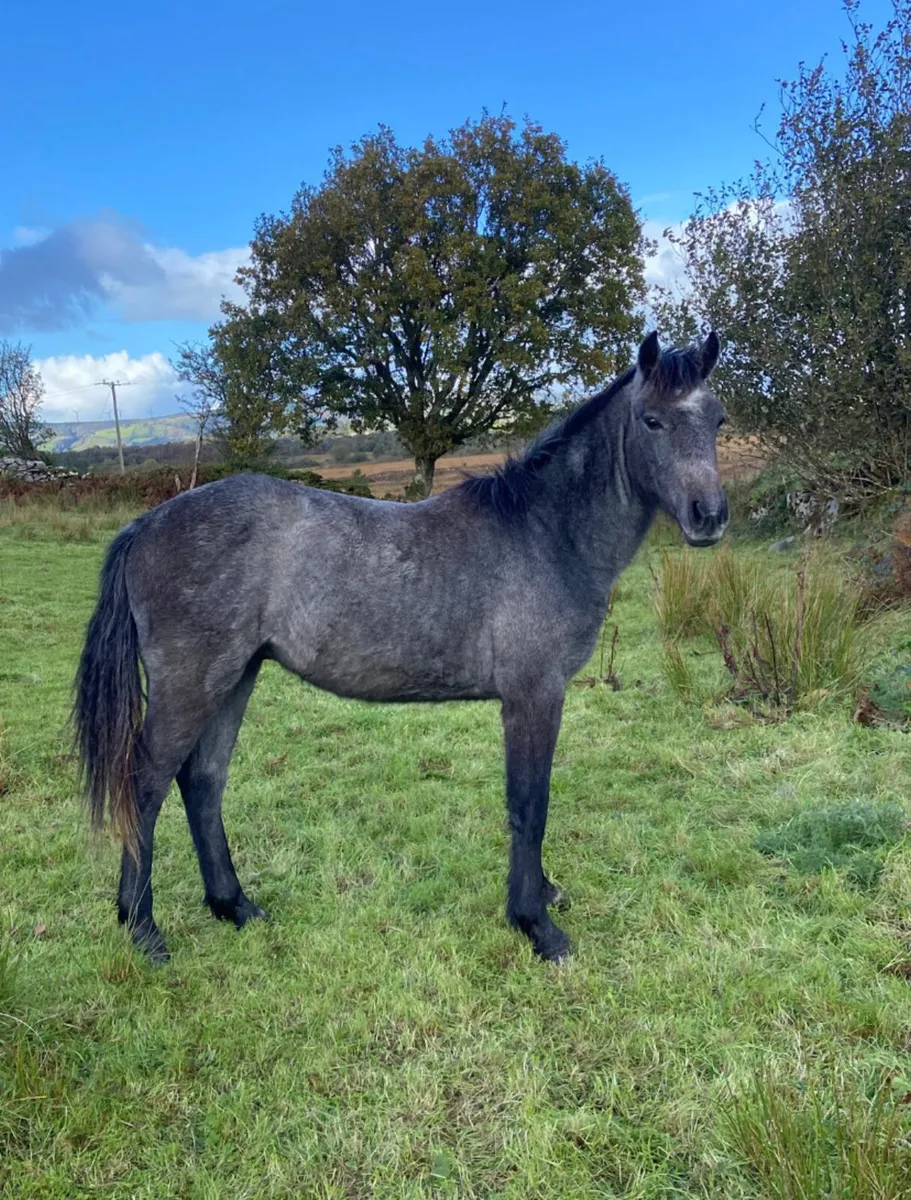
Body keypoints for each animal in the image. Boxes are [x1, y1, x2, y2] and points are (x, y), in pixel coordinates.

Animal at [74, 331, 727, 964]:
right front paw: (536, 926)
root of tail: (145, 525)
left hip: (236, 677)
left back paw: (234, 906)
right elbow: (529, 803)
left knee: (204, 781)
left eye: (718, 419)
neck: (544, 533)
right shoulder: (533, 695)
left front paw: (542, 898)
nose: (710, 516)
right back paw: (143, 931)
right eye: (651, 420)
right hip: (191, 685)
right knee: (146, 787)